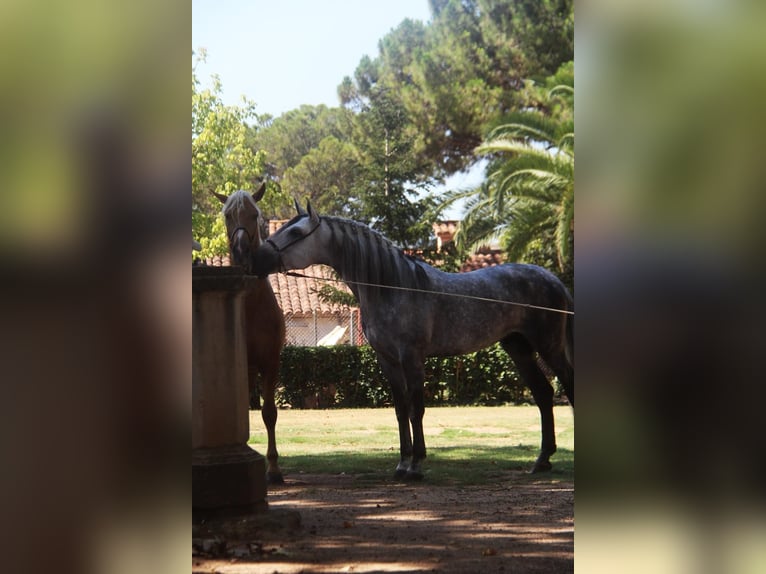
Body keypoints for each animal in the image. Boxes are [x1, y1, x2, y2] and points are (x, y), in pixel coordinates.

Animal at [254, 202, 576, 482]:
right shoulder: (387, 360)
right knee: (544, 394)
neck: (392, 286)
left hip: (549, 347)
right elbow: (400, 410)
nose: (255, 258)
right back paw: (542, 460)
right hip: (519, 349)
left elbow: (416, 409)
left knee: (567, 386)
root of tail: (553, 280)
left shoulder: (412, 358)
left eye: (296, 232)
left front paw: (417, 466)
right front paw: (401, 464)